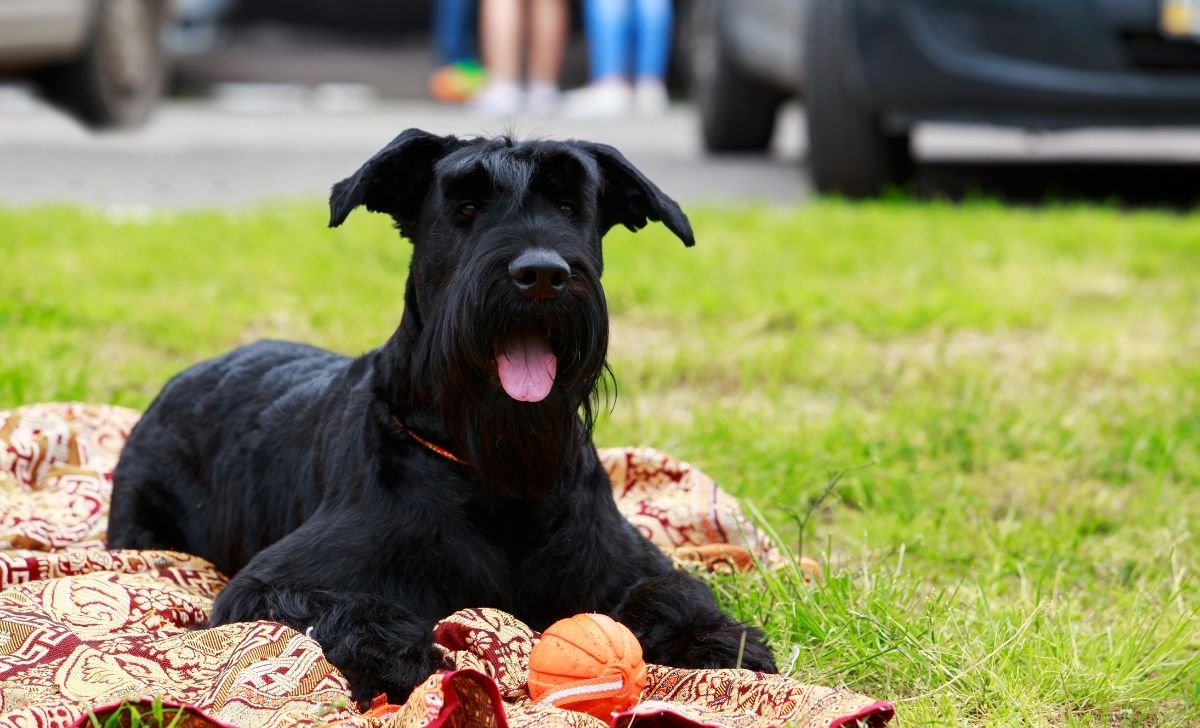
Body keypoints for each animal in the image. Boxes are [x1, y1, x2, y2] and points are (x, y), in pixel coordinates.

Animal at [110, 130, 777, 705]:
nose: (541, 274)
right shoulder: (267, 585)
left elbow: (671, 588)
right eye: (467, 207)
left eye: (570, 205)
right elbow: (350, 608)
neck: (495, 475)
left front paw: (716, 641)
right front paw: (411, 662)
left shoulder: (623, 559)